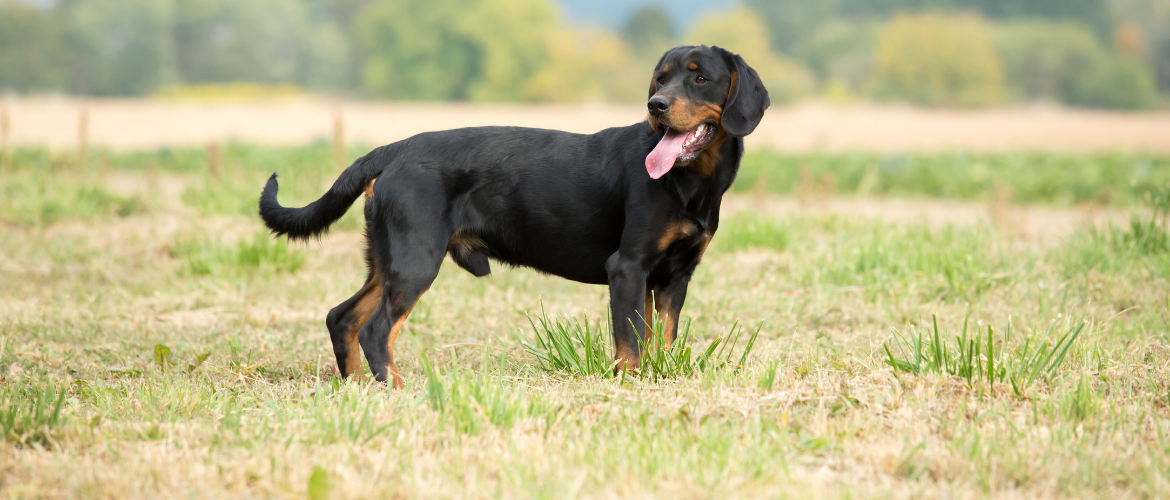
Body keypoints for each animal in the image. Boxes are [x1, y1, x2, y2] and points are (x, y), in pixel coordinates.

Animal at [258, 45, 767, 388]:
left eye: (699, 80)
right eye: (661, 80)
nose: (656, 106)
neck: (689, 184)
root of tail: (395, 149)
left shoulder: (673, 276)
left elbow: (660, 338)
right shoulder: (628, 267)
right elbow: (629, 345)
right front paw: (630, 385)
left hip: (388, 260)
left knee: (342, 318)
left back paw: (358, 387)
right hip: (416, 260)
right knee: (376, 329)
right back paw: (397, 389)